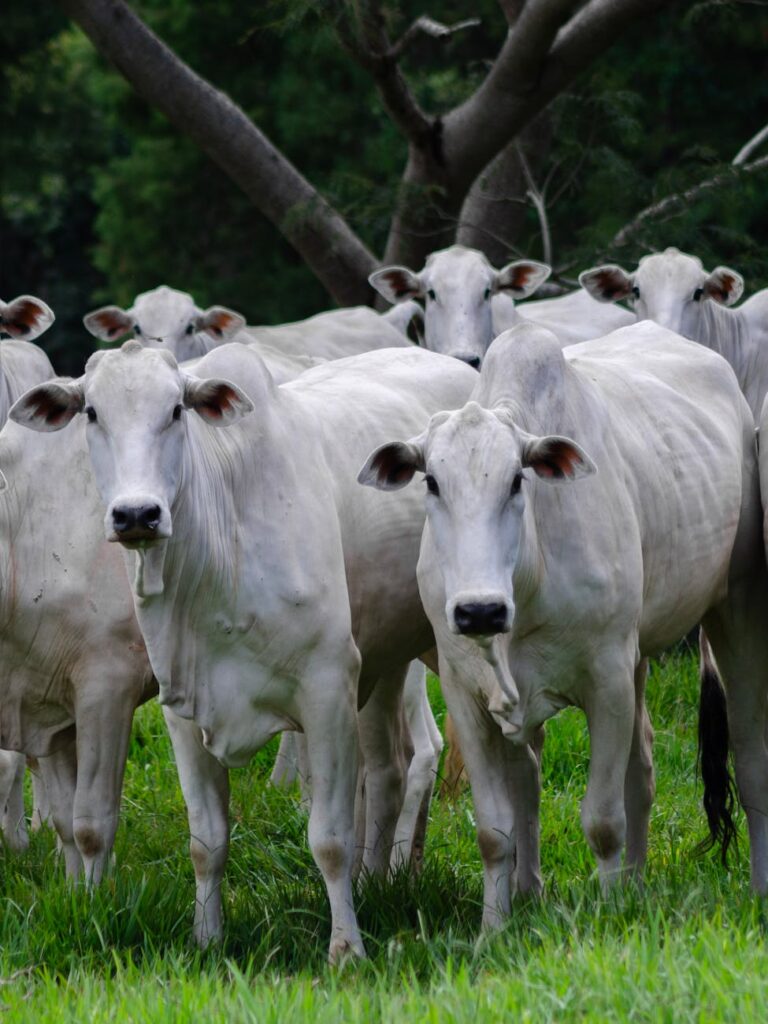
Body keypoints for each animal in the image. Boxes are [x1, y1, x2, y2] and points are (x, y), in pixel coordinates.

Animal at [10, 341, 476, 960]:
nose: (137, 514)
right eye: (91, 413)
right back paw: (387, 880)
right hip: (385, 661)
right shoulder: (183, 710)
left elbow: (328, 838)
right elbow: (206, 840)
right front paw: (207, 939)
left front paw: (345, 950)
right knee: (390, 768)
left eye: (176, 411)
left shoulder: (327, 689)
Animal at [359, 322, 768, 929]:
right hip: (637, 657)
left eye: (516, 481)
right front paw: (493, 930)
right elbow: (495, 832)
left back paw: (754, 889)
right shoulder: (466, 693)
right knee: (641, 770)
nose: (479, 610)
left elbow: (602, 821)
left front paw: (610, 915)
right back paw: (635, 883)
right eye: (431, 481)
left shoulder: (606, 680)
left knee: (749, 757)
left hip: (735, 610)